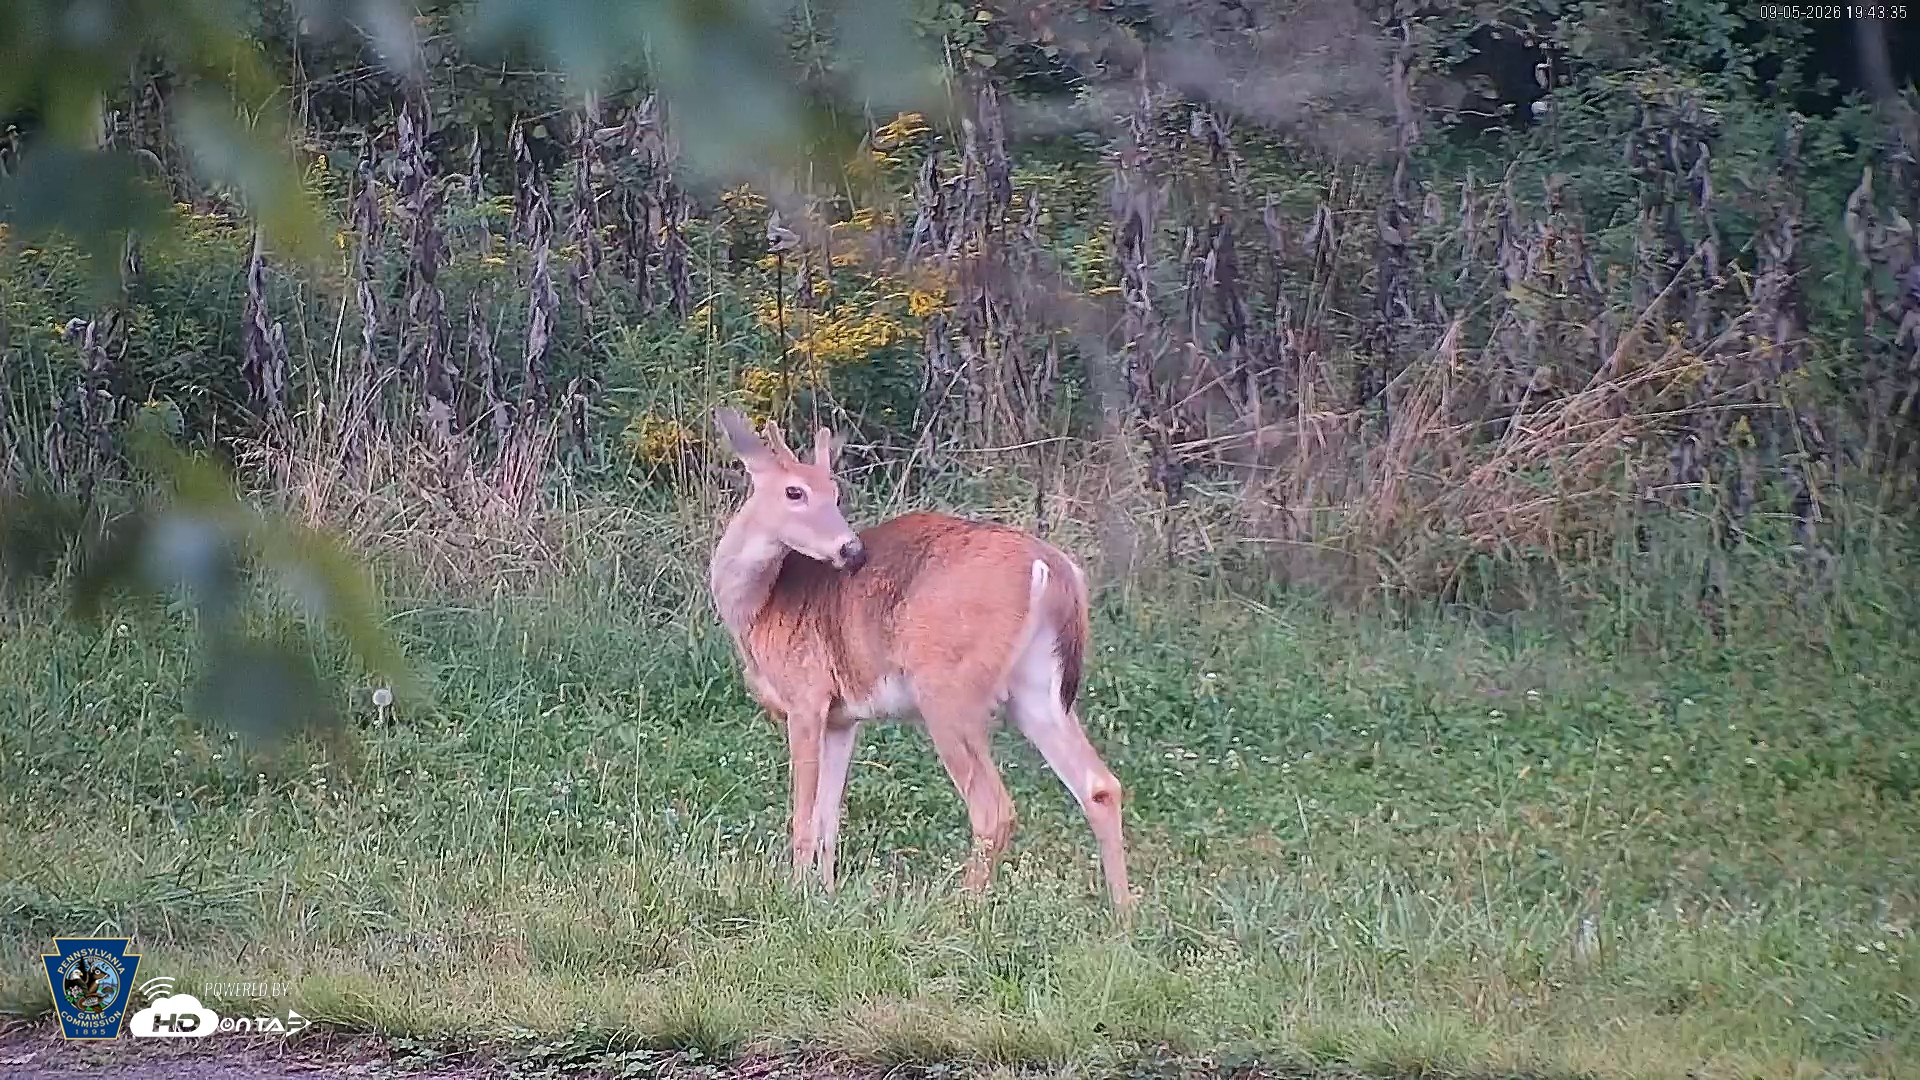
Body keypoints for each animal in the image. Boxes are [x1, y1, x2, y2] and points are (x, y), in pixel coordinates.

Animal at [705, 408, 1133, 909]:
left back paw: (962, 908)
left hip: (949, 689)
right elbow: (829, 817)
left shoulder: (806, 697)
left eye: (835, 492)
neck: (761, 606)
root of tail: (1054, 567)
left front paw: (794, 894)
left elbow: (804, 816)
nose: (851, 550)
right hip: (1037, 687)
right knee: (1099, 786)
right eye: (796, 491)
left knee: (993, 808)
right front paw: (825, 895)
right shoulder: (843, 716)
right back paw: (1124, 913)